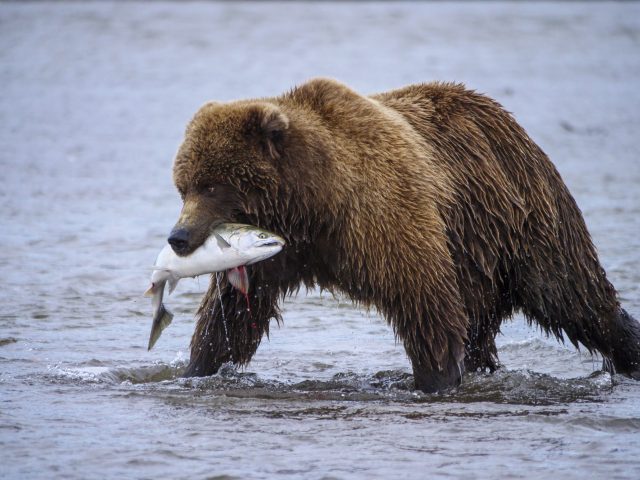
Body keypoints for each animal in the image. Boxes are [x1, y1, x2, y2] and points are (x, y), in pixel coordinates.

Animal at [169, 79, 640, 392]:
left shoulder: (383, 217)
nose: (178, 236)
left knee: (574, 295)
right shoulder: (276, 256)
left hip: (526, 218)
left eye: (212, 185)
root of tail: (508, 121)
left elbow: (425, 302)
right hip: (479, 258)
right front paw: (196, 367)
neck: (314, 203)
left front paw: (435, 378)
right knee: (483, 327)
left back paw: (626, 349)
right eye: (184, 185)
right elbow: (231, 319)